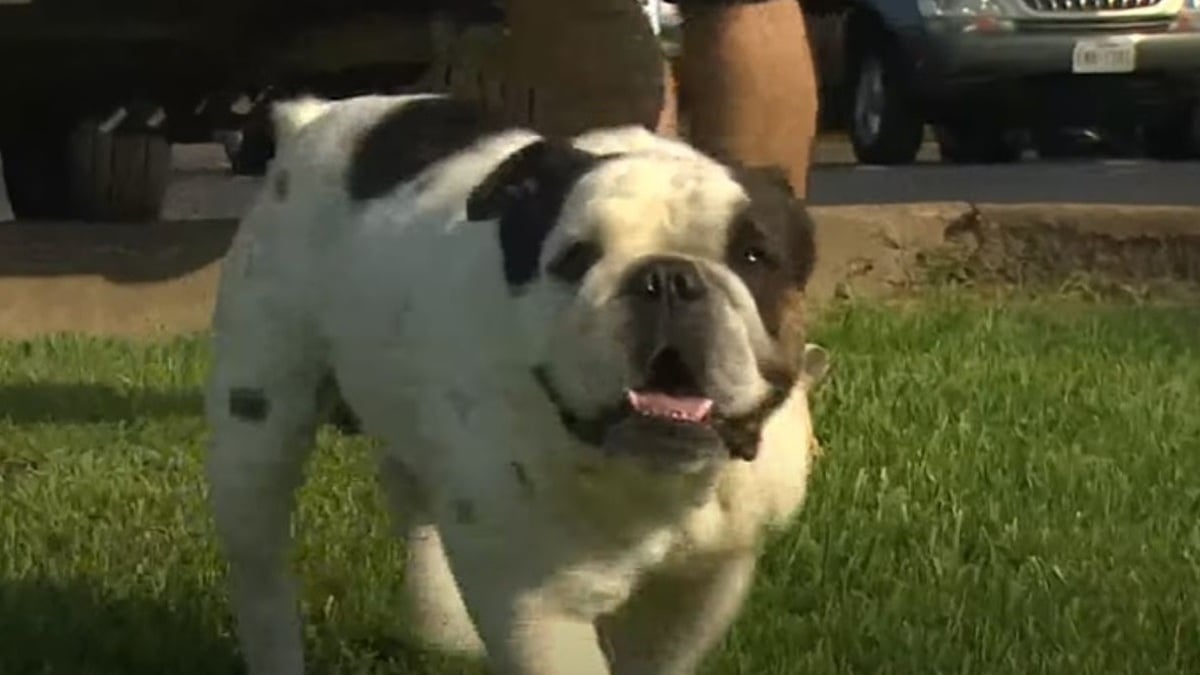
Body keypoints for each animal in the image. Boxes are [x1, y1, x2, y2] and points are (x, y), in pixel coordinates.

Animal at [204, 93, 825, 672]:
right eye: (575, 258)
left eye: (754, 256)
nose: (667, 276)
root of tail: (311, 118)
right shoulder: (539, 605)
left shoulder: (704, 582)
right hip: (255, 435)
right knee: (262, 570)